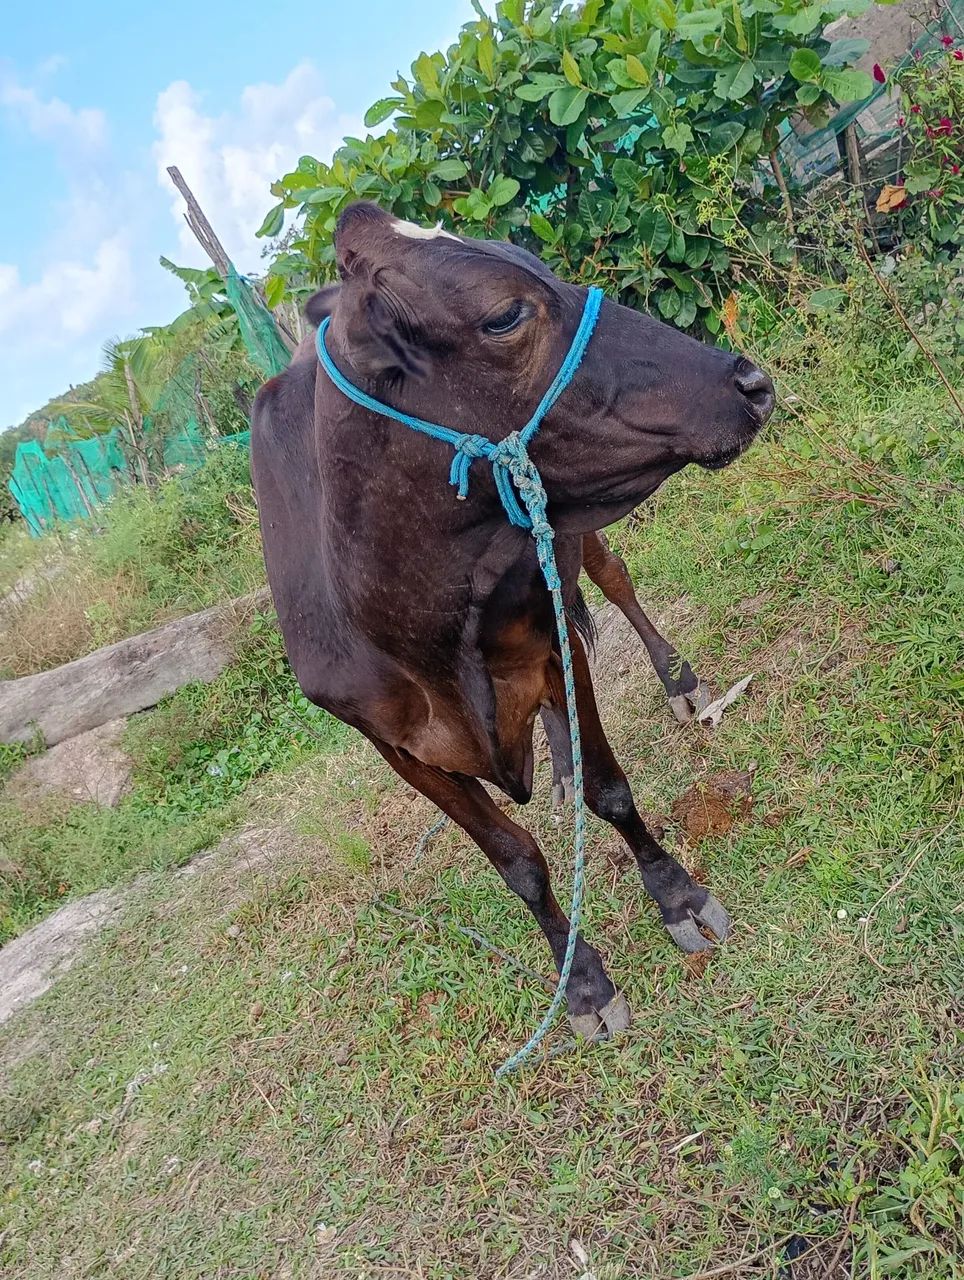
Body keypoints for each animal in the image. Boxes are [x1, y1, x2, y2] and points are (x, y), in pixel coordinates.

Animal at [251, 202, 774, 1039]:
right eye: (502, 315)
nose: (752, 382)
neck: (420, 627)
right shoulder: (396, 748)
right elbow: (515, 862)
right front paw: (582, 983)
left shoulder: (548, 632)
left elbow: (610, 789)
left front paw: (677, 897)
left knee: (615, 582)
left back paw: (678, 682)